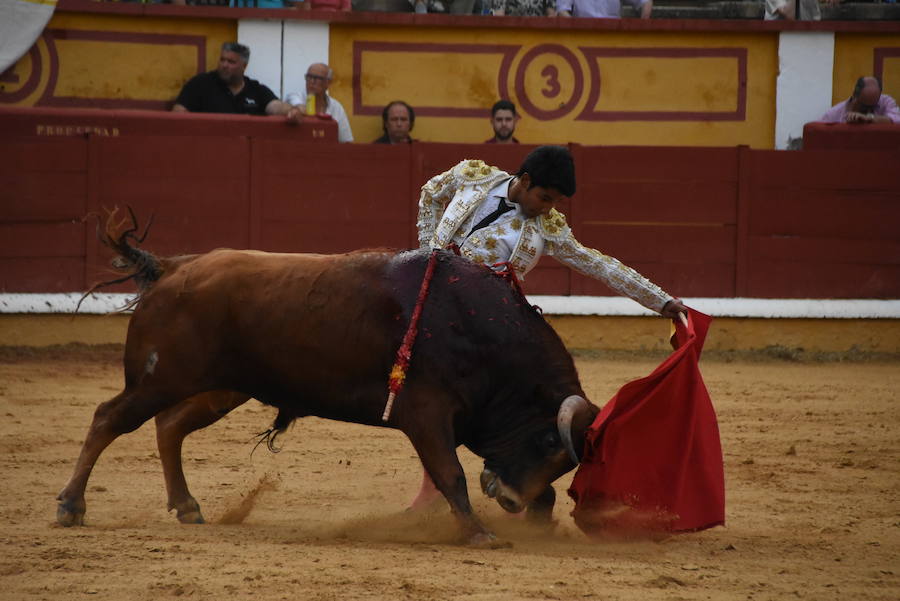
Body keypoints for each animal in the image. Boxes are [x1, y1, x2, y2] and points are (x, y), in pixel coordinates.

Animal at [56, 213, 596, 540]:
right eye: (549, 441)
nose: (509, 501)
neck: (476, 329)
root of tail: (173, 268)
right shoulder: (426, 413)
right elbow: (451, 474)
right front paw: (479, 534)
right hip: (159, 379)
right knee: (108, 419)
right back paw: (70, 506)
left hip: (220, 388)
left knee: (169, 426)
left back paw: (187, 507)